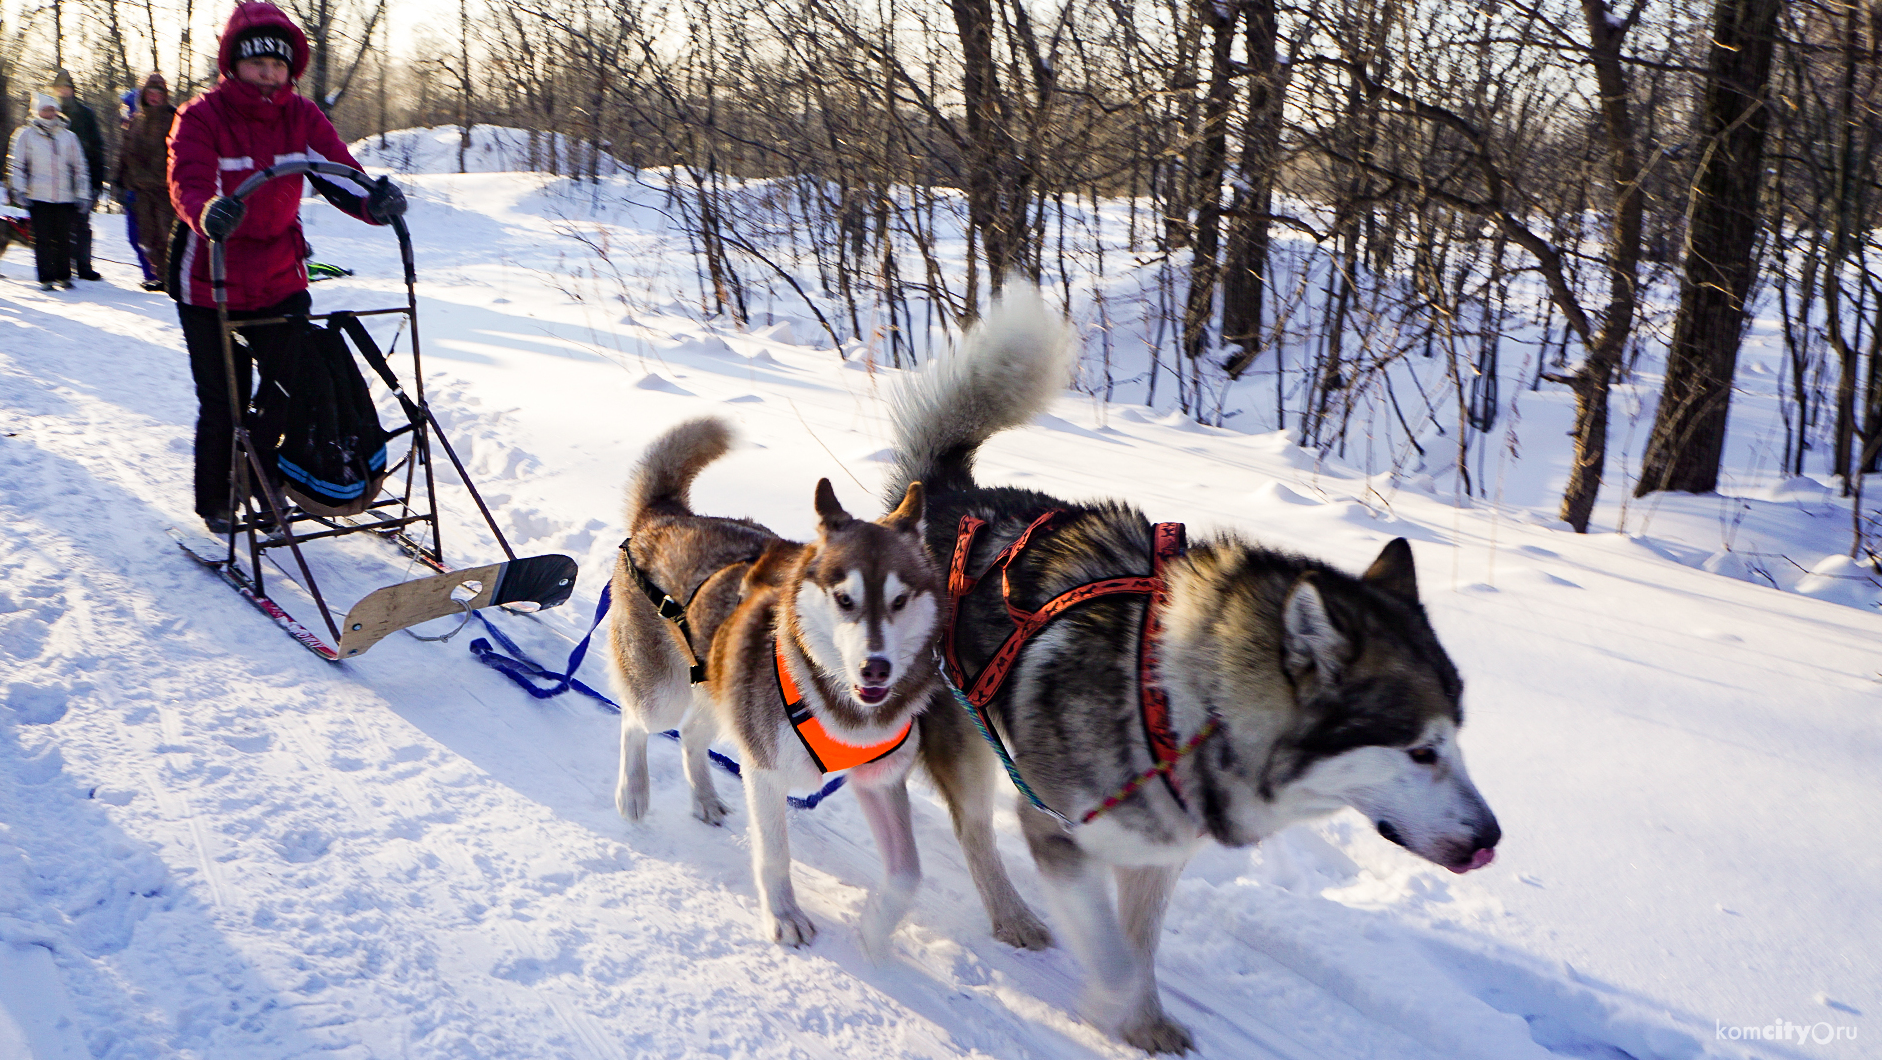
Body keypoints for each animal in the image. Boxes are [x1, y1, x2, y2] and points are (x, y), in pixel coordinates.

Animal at [602, 419, 1046, 956]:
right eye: (845, 598)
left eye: (899, 599)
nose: (876, 668)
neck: (839, 706)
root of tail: (669, 515)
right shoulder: (766, 773)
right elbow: (775, 855)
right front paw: (784, 917)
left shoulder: (880, 779)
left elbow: (908, 874)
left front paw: (874, 929)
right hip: (664, 695)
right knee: (637, 721)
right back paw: (633, 791)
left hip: (717, 691)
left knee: (690, 735)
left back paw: (704, 798)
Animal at [880, 289, 1498, 1054]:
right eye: (1420, 751)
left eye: (1457, 737)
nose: (1491, 839)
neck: (1174, 700)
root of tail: (947, 493)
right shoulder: (1056, 828)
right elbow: (1111, 951)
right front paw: (1109, 1005)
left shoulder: (1158, 853)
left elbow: (1139, 945)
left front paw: (1144, 1021)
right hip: (965, 736)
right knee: (972, 832)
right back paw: (1012, 916)